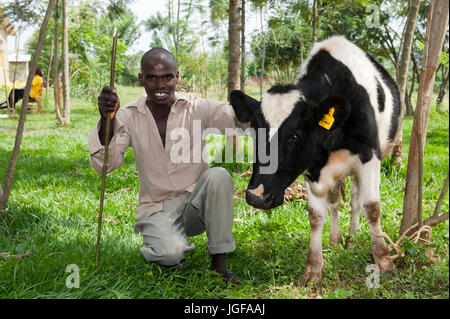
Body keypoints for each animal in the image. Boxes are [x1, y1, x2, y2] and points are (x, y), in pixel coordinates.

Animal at [230, 36, 402, 286]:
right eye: (255, 131)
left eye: (295, 135)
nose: (257, 196)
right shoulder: (312, 169)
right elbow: (315, 216)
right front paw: (313, 268)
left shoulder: (370, 158)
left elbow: (372, 208)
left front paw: (384, 261)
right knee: (336, 203)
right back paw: (336, 239)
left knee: (355, 202)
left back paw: (351, 238)